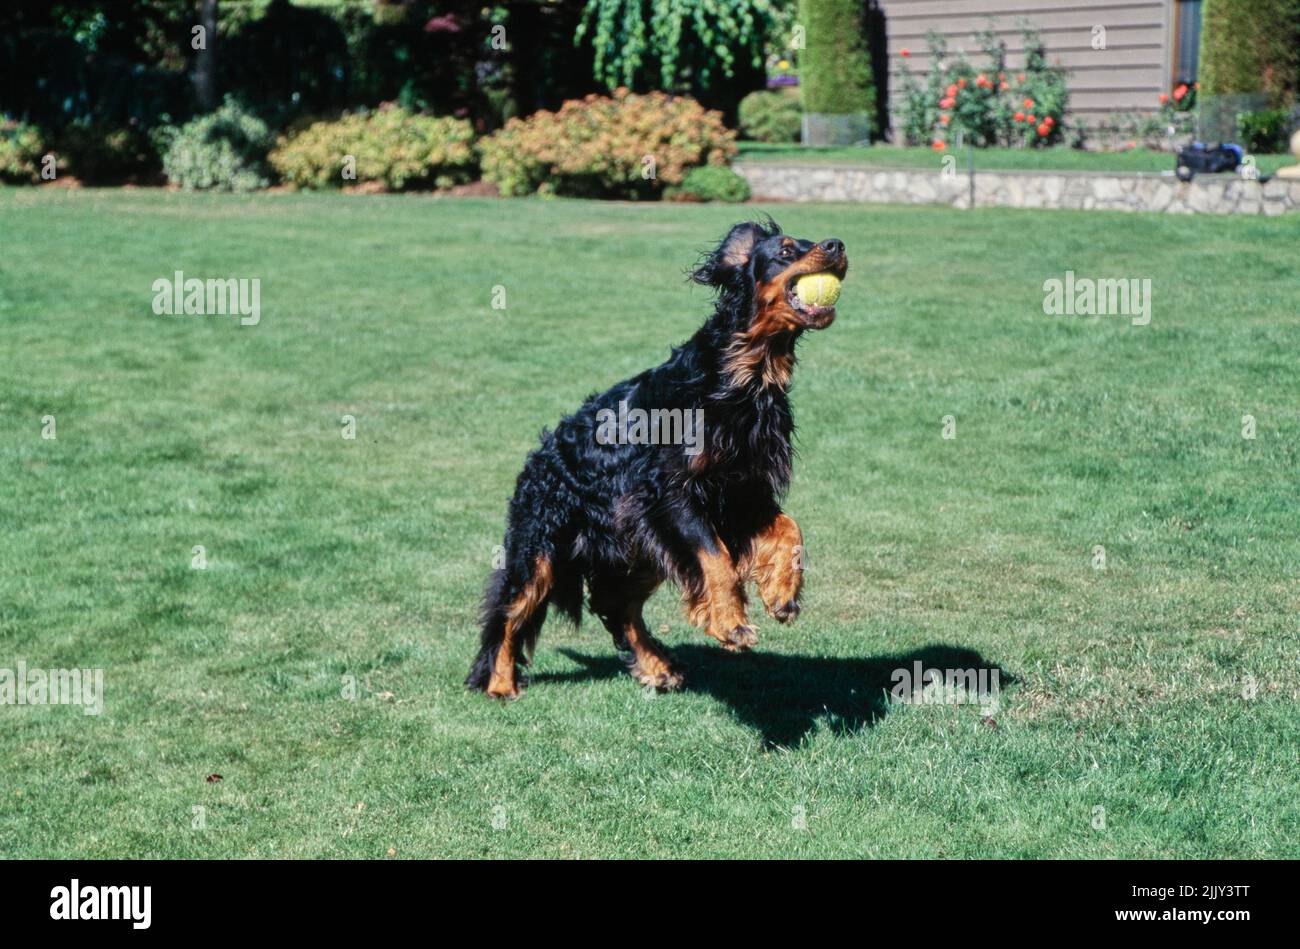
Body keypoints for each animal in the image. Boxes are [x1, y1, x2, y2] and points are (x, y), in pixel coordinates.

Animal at [465, 219, 842, 696]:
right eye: (787, 250)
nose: (837, 245)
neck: (740, 375)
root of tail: (535, 460)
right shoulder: (667, 494)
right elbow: (716, 559)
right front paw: (730, 622)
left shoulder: (742, 492)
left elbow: (790, 529)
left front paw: (782, 592)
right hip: (540, 545)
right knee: (510, 611)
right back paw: (499, 683)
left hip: (637, 547)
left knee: (616, 604)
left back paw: (656, 665)